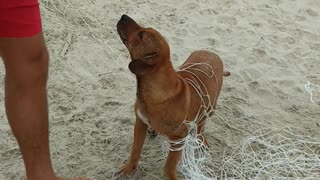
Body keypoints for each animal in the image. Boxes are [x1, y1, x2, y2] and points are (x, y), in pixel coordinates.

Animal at [117, 14, 230, 179]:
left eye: (141, 34)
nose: (123, 15)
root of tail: (213, 54)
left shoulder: (179, 138)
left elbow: (169, 166)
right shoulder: (140, 122)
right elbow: (135, 149)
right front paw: (129, 168)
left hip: (210, 107)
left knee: (201, 125)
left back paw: (202, 140)